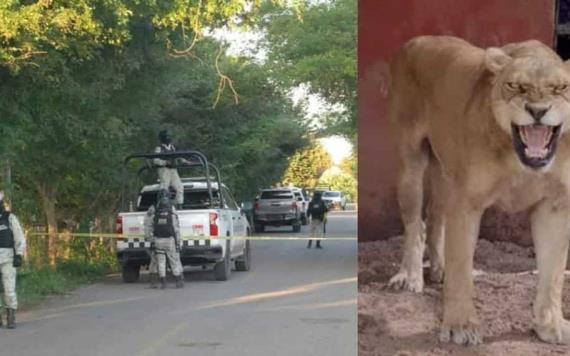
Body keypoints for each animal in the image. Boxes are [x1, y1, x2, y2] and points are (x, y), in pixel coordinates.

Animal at [386, 35, 570, 344]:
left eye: (560, 88)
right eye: (515, 86)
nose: (537, 111)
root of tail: (417, 40)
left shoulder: (555, 206)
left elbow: (553, 274)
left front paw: (551, 325)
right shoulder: (467, 202)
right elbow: (462, 268)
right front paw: (460, 326)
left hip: (446, 172)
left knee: (435, 216)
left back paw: (439, 269)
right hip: (410, 162)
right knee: (415, 224)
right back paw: (411, 276)